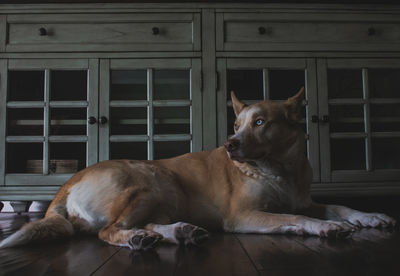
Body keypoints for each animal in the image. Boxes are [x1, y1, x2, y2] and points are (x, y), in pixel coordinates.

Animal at [0, 88, 396, 250]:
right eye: (236, 123)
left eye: (261, 122)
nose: (230, 144)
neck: (279, 168)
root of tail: (68, 183)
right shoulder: (242, 215)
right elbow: (298, 218)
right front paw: (326, 227)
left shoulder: (303, 199)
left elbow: (339, 205)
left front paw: (371, 216)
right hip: (153, 181)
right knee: (109, 230)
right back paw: (142, 239)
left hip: (163, 194)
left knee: (141, 224)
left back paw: (178, 232)